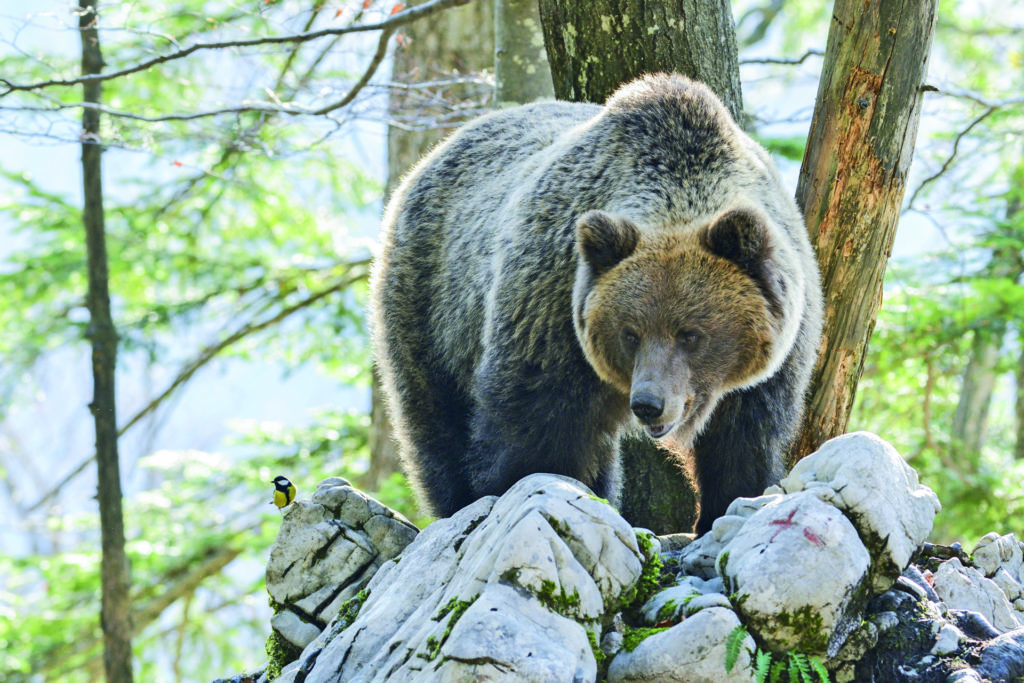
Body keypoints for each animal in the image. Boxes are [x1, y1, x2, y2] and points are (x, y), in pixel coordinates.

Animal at [368, 73, 823, 532]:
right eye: (631, 333)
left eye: (691, 334)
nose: (648, 403)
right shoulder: (552, 307)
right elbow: (539, 425)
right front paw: (523, 486)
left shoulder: (774, 358)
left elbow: (744, 440)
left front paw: (730, 504)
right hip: (433, 298)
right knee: (436, 417)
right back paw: (456, 501)